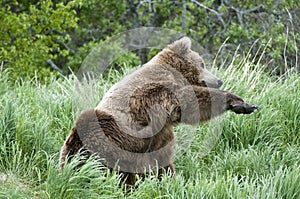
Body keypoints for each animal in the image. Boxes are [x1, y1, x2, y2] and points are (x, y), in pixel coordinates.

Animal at [59, 37, 258, 185]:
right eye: (202, 64)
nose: (218, 80)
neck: (175, 73)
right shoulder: (151, 96)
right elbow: (187, 100)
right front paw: (239, 102)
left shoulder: (159, 134)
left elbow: (160, 160)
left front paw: (169, 181)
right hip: (108, 134)